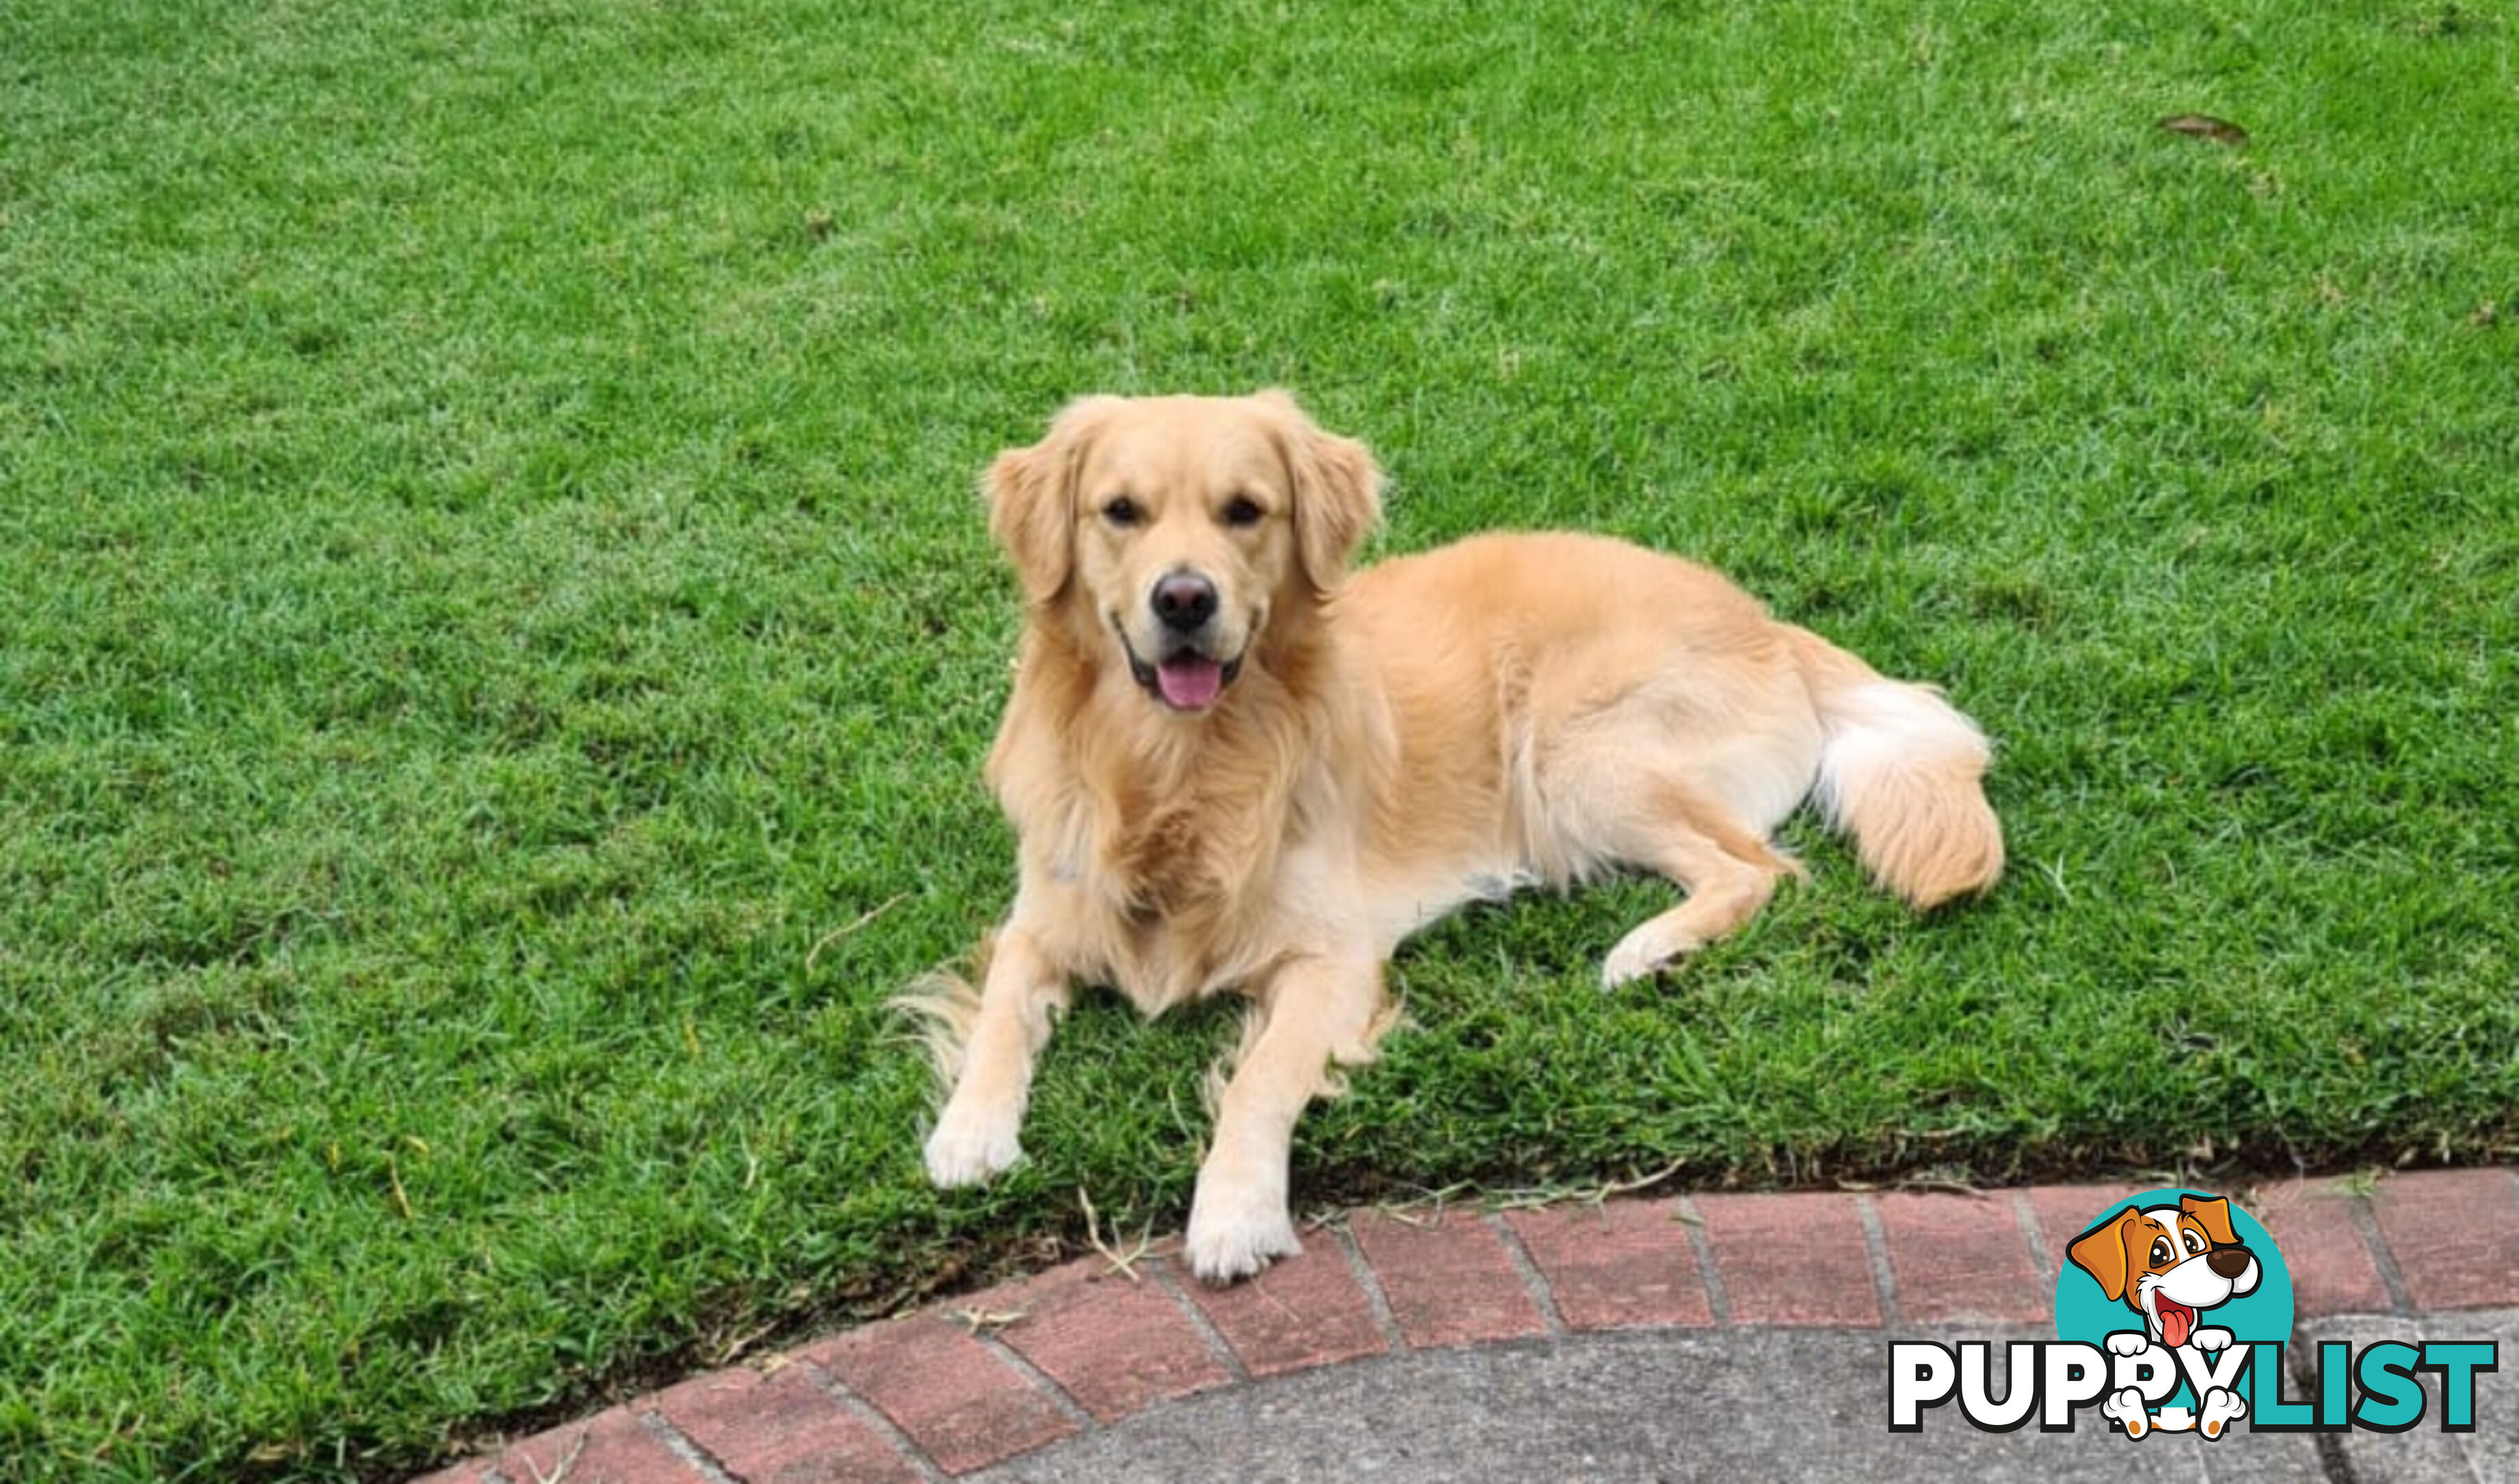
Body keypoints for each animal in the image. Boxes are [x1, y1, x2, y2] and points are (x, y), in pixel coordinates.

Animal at [917, 387, 1995, 1279]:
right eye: (1120, 512)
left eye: (1245, 511)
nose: (1184, 599)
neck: (1176, 767)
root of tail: (1767, 620)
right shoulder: (1042, 918)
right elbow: (1006, 1007)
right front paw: (970, 1130)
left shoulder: (1333, 961)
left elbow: (1257, 1082)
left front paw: (1233, 1212)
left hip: (1573, 754)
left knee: (1760, 869)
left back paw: (1646, 950)